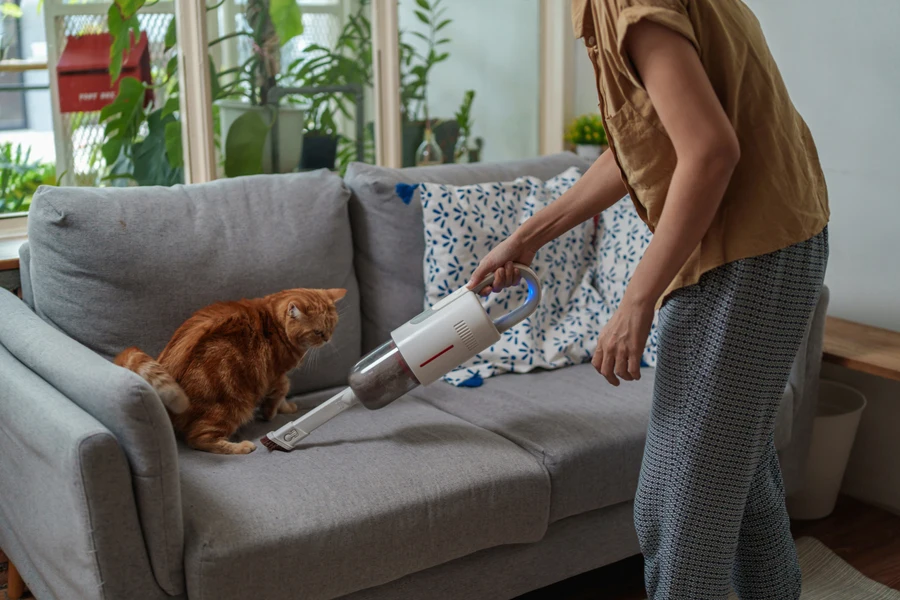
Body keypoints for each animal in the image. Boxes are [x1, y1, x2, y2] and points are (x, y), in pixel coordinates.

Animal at [114, 288, 346, 452]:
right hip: (233, 406)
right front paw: (273, 412)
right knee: (198, 439)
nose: (328, 339)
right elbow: (281, 390)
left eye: (332, 327)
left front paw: (285, 407)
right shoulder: (275, 374)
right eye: (318, 332)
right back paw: (241, 447)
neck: (274, 323)